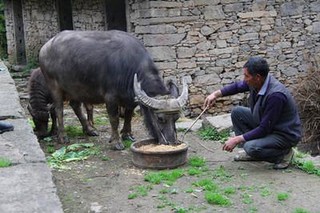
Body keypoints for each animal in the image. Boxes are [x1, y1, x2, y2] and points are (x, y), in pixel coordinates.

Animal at [38, 30, 188, 150]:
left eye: (176, 118)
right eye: (160, 118)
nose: (172, 142)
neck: (128, 66)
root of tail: (45, 48)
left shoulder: (131, 98)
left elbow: (128, 115)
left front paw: (127, 134)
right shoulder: (110, 98)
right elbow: (114, 119)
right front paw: (116, 142)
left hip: (75, 89)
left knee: (75, 106)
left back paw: (89, 130)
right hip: (54, 86)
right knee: (58, 109)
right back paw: (62, 136)